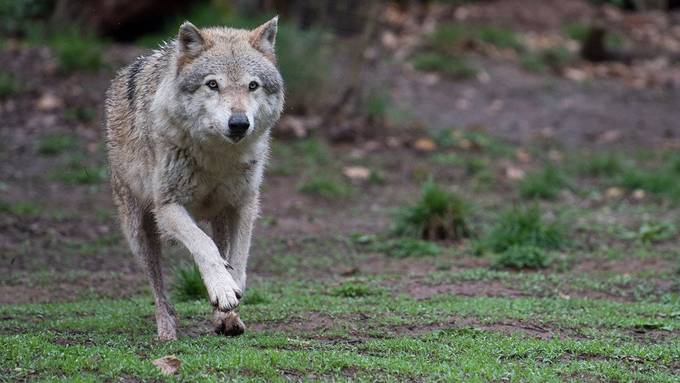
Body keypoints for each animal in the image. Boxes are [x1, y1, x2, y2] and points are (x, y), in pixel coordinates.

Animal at [105, 16, 284, 340]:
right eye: (212, 84)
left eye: (253, 85)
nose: (239, 123)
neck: (217, 156)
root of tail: (126, 70)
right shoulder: (167, 207)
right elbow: (203, 245)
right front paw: (222, 289)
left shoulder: (244, 205)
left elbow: (238, 261)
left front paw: (230, 300)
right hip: (139, 232)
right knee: (158, 290)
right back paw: (166, 330)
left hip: (220, 217)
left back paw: (226, 320)